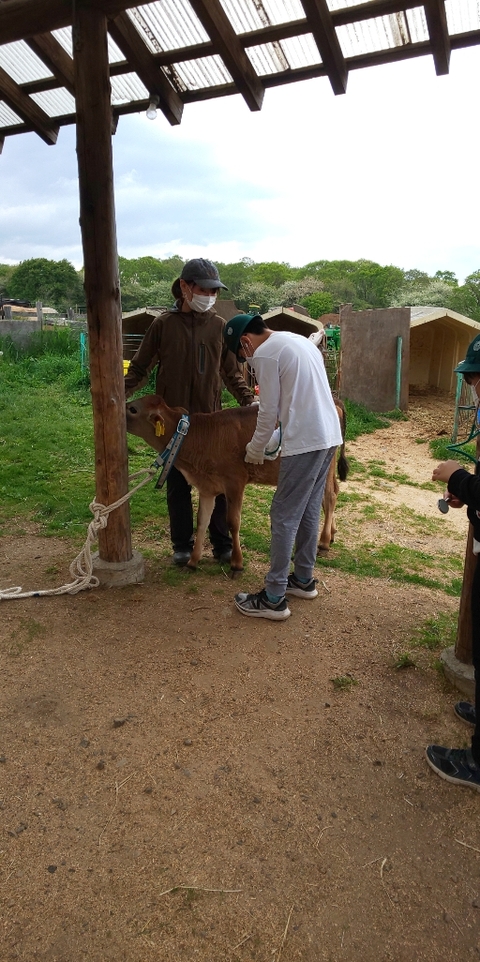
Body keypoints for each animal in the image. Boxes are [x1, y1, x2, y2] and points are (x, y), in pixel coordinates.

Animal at [125, 394, 346, 572]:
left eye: (133, 409)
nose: (121, 409)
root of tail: (334, 400)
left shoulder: (235, 482)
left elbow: (233, 522)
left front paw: (236, 562)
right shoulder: (207, 488)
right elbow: (202, 522)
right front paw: (193, 561)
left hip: (324, 464)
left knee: (330, 496)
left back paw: (324, 541)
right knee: (330, 494)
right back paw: (332, 534)